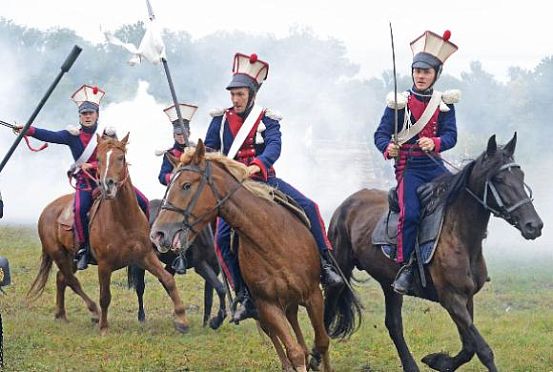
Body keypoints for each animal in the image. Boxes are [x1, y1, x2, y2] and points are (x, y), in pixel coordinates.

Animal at [29, 134, 190, 334]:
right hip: (59, 254)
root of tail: (47, 210)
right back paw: (94, 312)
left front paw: (182, 319)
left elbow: (167, 280)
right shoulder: (104, 265)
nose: (108, 185)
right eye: (98, 159)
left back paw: (61, 315)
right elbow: (105, 296)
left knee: (61, 279)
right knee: (72, 280)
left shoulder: (145, 256)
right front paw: (104, 327)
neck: (123, 221)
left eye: (120, 158)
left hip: (70, 257)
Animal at [127, 199, 226, 330]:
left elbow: (209, 297)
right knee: (140, 288)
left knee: (165, 281)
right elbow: (221, 289)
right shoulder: (201, 266)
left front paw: (206, 324)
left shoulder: (214, 269)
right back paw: (142, 317)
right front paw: (215, 322)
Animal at [150, 140, 332, 372]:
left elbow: (322, 341)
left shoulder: (313, 295)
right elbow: (294, 351)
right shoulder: (267, 305)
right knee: (281, 339)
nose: (158, 234)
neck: (270, 240)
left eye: (186, 185)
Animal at [324, 134, 544, 372]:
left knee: (394, 325)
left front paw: (438, 361)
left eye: (521, 176)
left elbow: (469, 347)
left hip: (389, 284)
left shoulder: (466, 299)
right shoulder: (452, 299)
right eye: (500, 179)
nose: (534, 225)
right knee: (326, 312)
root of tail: (346, 204)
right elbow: (483, 350)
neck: (458, 235)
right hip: (340, 269)